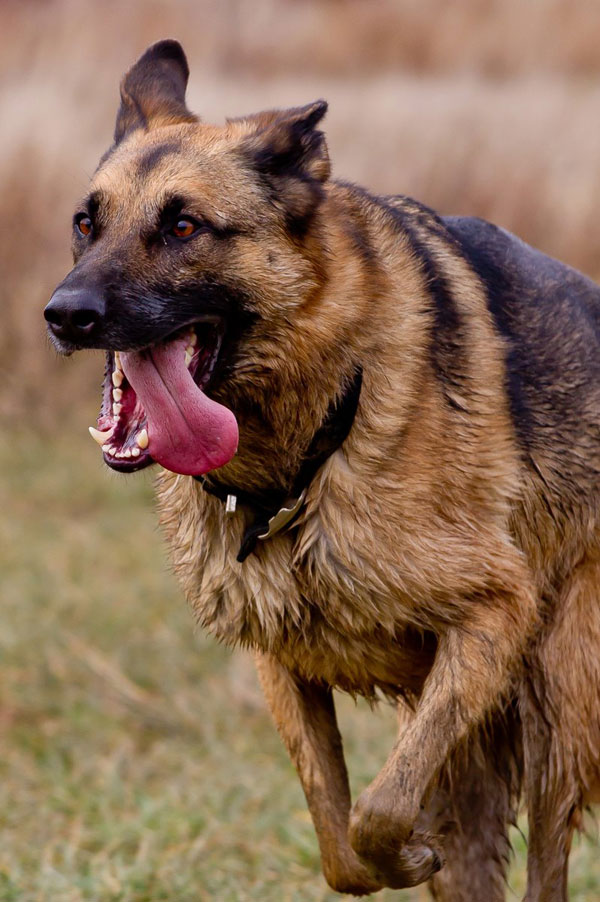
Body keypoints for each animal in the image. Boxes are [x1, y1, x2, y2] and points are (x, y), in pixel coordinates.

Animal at [44, 42, 596, 902]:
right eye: (85, 223)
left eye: (183, 226)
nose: (66, 315)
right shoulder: (285, 663)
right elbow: (341, 842)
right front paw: (394, 860)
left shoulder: (495, 614)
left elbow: (379, 808)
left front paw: (405, 852)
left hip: (561, 698)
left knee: (546, 863)